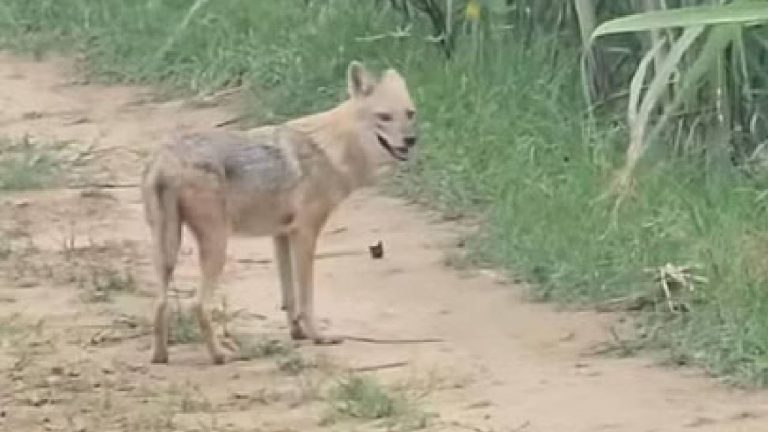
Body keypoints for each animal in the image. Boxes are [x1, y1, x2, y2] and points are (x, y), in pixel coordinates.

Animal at [141, 61, 418, 364]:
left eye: (410, 114)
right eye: (384, 117)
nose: (411, 140)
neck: (331, 150)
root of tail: (165, 159)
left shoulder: (281, 235)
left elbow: (289, 297)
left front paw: (297, 333)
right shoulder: (305, 234)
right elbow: (306, 297)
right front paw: (318, 336)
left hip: (166, 252)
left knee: (160, 303)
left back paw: (160, 357)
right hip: (216, 248)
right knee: (198, 305)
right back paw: (219, 356)